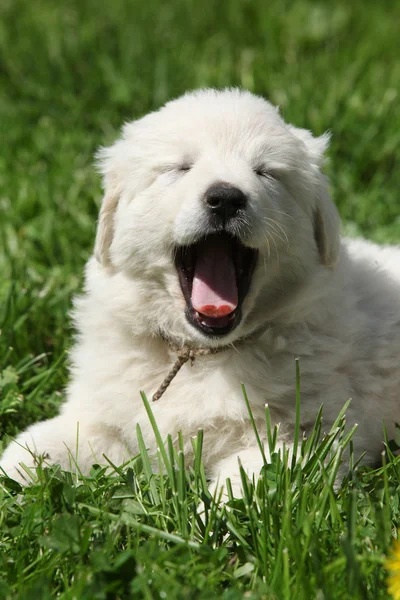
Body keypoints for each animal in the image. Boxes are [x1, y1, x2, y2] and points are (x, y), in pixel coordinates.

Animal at [0, 88, 400, 492]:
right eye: (180, 168)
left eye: (265, 172)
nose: (225, 197)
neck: (198, 354)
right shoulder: (112, 414)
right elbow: (56, 441)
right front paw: (20, 468)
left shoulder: (308, 436)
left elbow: (252, 478)